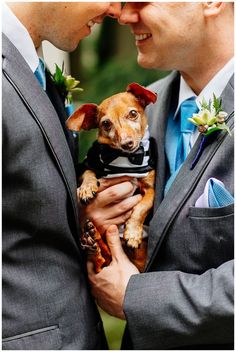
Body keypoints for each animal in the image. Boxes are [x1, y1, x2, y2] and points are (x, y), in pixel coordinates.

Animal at [66, 82, 157, 272]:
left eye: (133, 113)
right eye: (106, 124)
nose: (127, 143)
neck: (124, 159)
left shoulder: (150, 189)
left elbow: (141, 207)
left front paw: (132, 233)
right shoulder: (89, 164)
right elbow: (89, 173)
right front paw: (87, 188)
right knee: (102, 261)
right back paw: (93, 243)